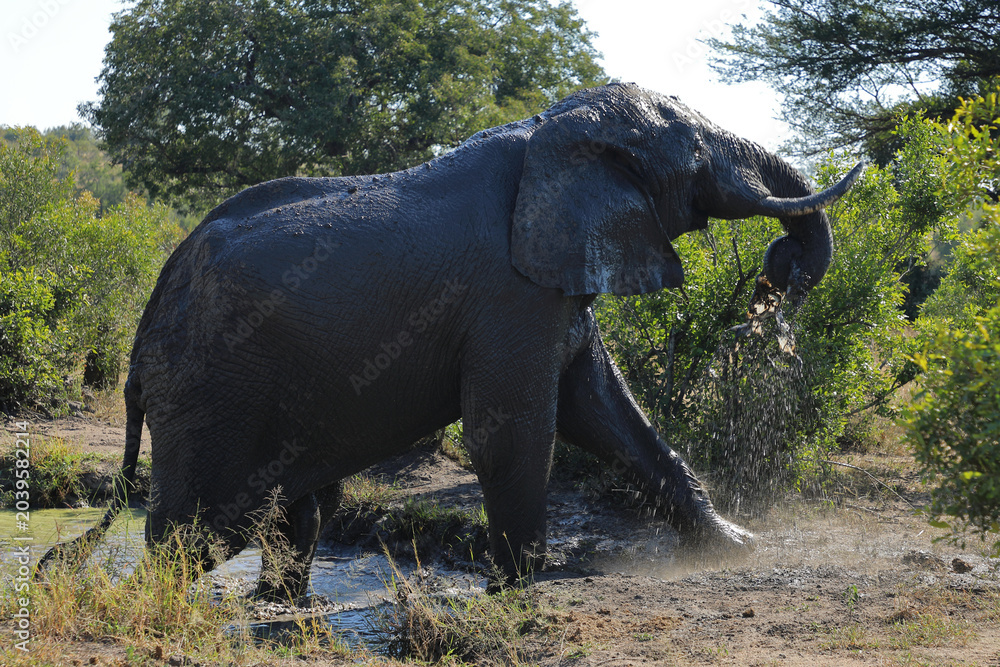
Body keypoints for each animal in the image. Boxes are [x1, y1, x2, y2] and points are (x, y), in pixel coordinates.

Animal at [44, 82, 863, 599]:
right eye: (695, 154)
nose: (779, 274)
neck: (549, 129)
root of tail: (145, 327)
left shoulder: (550, 281)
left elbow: (609, 413)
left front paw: (737, 545)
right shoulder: (508, 293)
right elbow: (516, 429)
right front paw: (521, 583)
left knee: (295, 516)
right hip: (210, 391)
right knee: (198, 534)